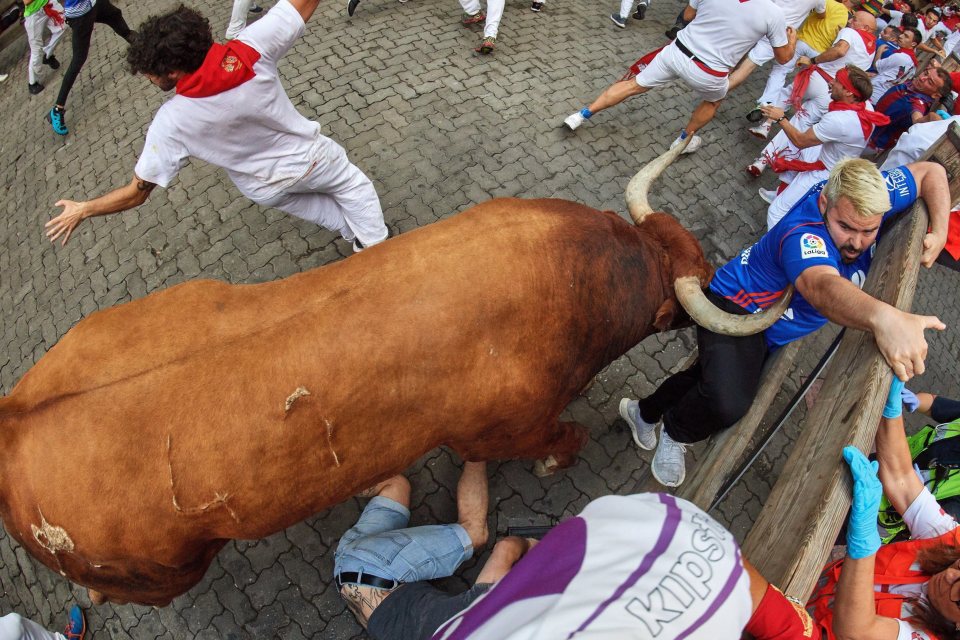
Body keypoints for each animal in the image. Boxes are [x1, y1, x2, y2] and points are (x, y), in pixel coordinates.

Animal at [0, 141, 788, 604]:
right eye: (674, 309)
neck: (577, 278)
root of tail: (15, 420)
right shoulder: (510, 425)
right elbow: (566, 440)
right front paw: (551, 466)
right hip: (170, 568)